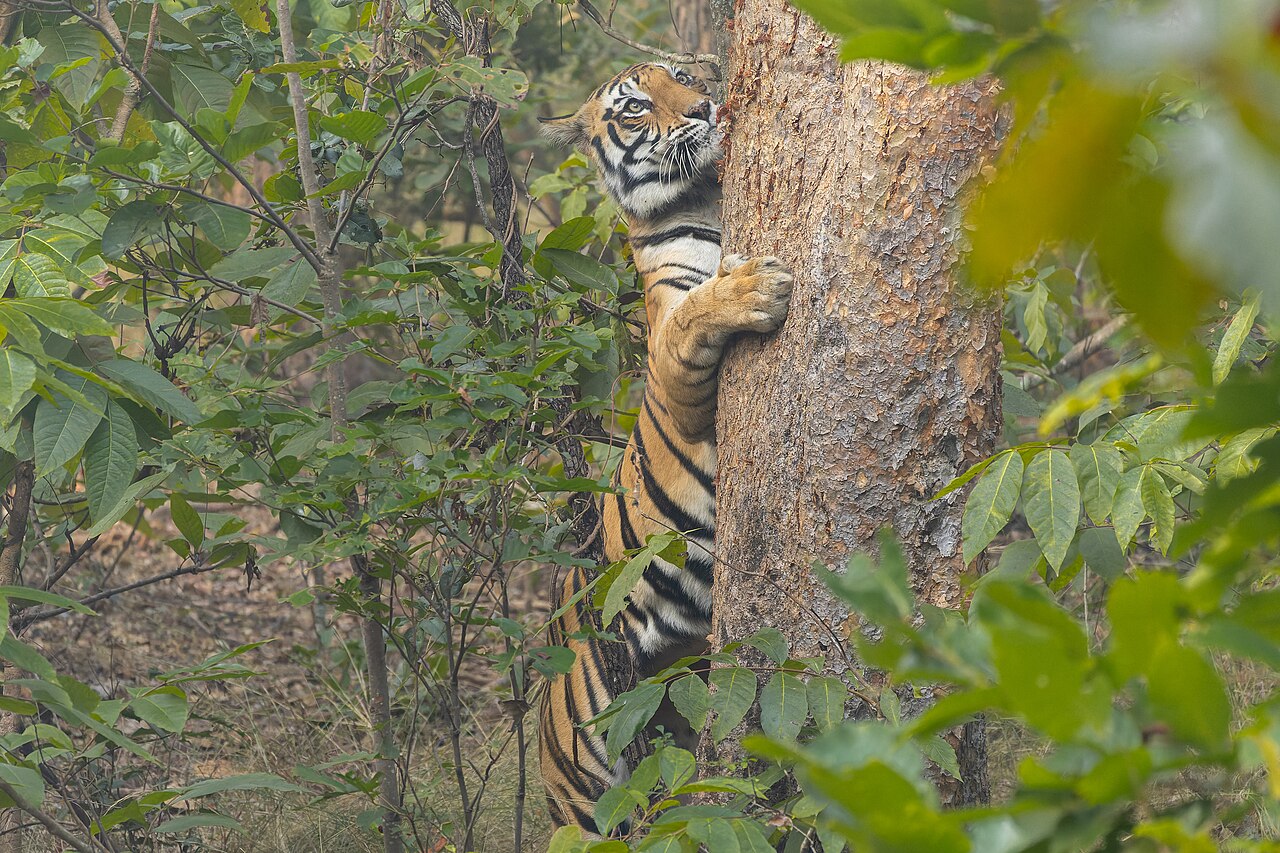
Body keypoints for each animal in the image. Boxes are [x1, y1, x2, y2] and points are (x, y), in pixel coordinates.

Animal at [537, 63, 794, 833]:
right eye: (636, 107)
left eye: (681, 76)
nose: (706, 108)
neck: (707, 196)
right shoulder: (672, 362)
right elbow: (694, 319)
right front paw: (755, 284)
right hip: (587, 776)